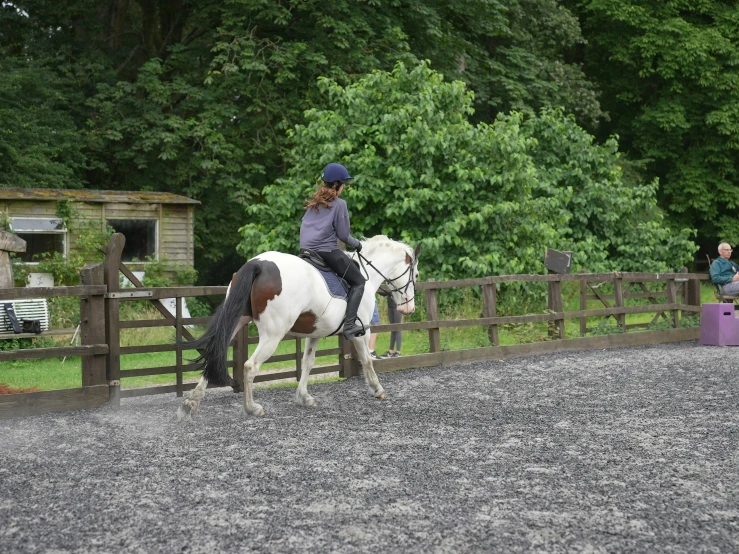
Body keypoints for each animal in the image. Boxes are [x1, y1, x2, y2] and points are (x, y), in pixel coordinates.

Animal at [176, 234, 420, 418]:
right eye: (416, 274)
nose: (408, 308)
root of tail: (258, 263)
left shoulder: (315, 333)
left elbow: (307, 363)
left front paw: (304, 397)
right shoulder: (361, 332)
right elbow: (367, 360)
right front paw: (377, 389)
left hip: (237, 321)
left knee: (215, 352)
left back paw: (192, 402)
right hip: (272, 335)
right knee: (250, 366)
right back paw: (252, 408)